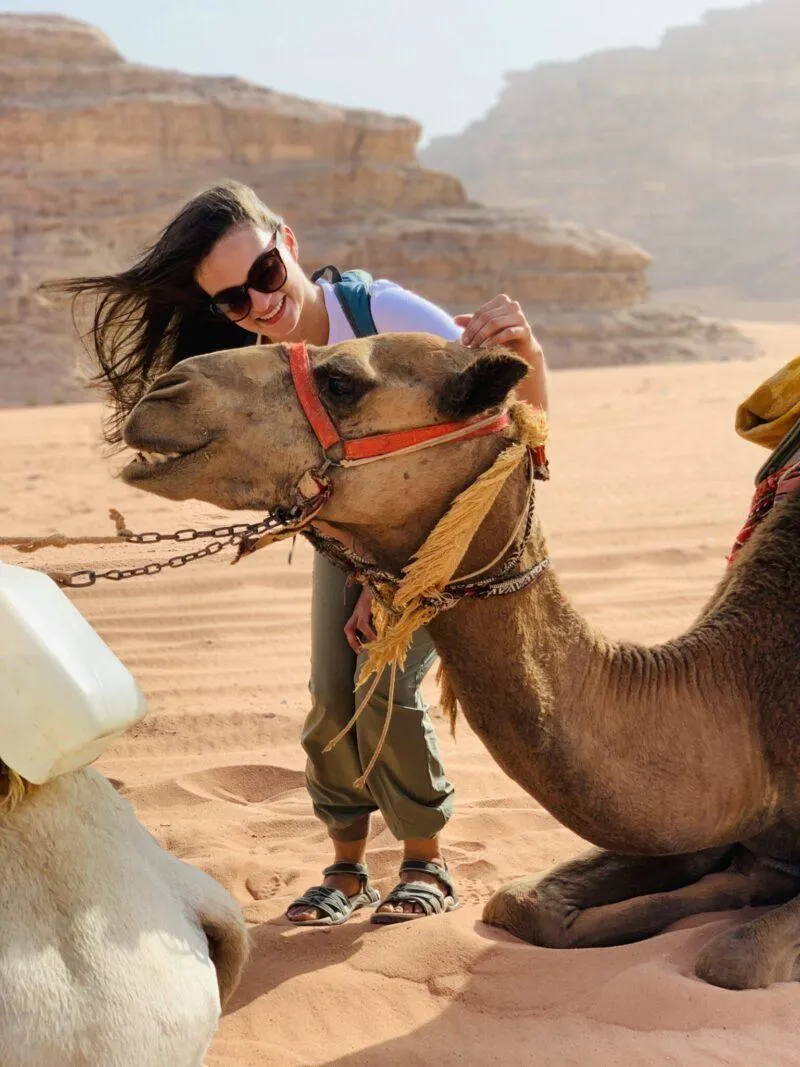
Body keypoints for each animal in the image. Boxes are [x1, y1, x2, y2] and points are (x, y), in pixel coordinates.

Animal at [117, 335, 800, 990]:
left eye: (342, 381)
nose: (164, 390)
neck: (743, 682)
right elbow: (518, 903)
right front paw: (730, 884)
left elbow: (732, 959)